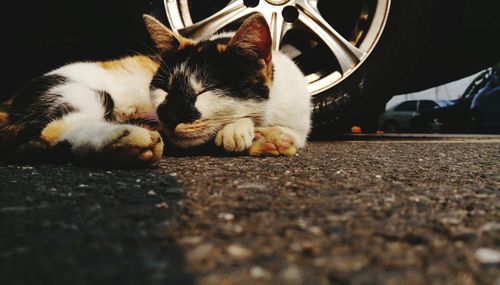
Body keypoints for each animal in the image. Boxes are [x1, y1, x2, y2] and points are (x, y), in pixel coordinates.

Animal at [0, 13, 310, 166]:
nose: (168, 117)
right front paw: (241, 130)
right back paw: (128, 141)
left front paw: (269, 139)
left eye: (205, 90)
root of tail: (9, 102)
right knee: (55, 129)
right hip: (77, 92)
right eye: (164, 89)